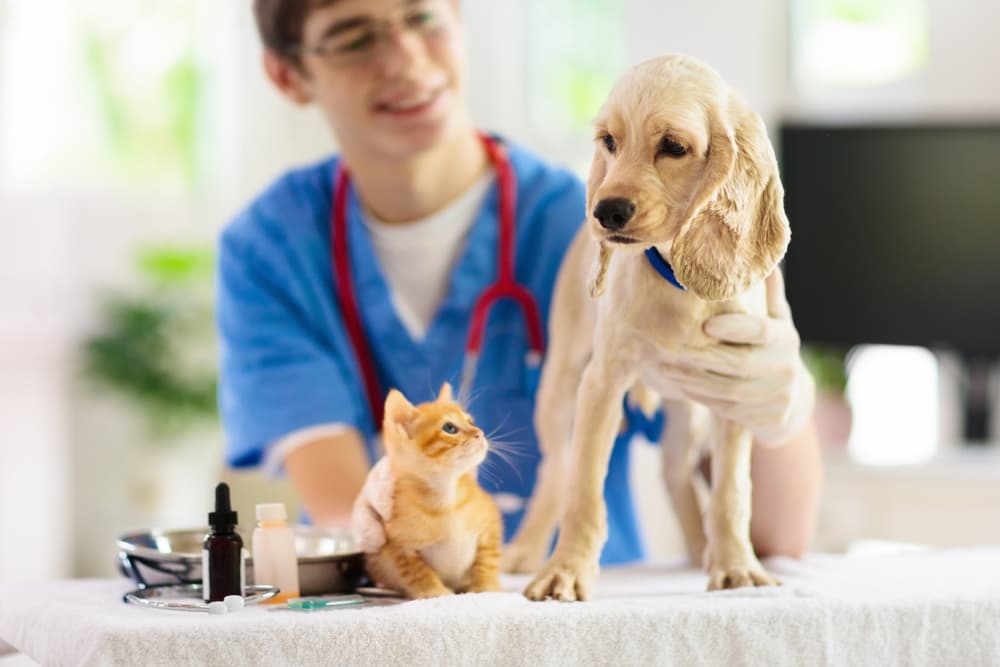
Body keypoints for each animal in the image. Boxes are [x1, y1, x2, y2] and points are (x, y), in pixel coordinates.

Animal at [356, 384, 504, 596]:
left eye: (470, 421)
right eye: (449, 428)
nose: (480, 433)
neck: (446, 501)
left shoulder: (490, 522)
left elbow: (488, 560)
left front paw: (487, 586)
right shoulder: (397, 545)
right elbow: (417, 571)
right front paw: (433, 591)